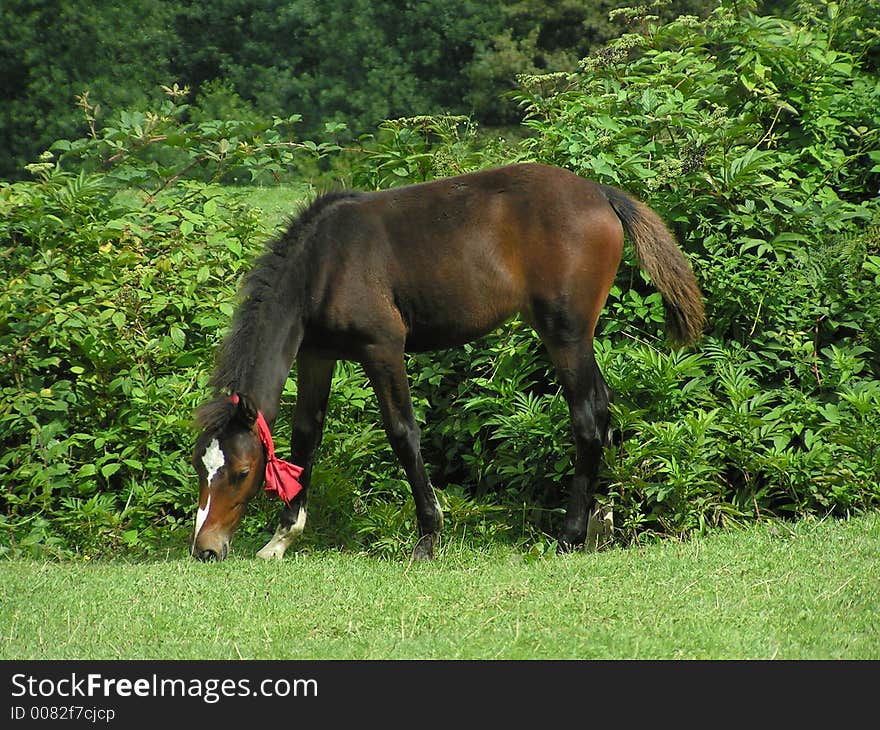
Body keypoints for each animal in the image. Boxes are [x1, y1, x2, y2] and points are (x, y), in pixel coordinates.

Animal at [189, 162, 704, 560]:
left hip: (566, 334)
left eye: (240, 472)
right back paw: (606, 523)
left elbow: (403, 434)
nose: (205, 549)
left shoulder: (382, 349)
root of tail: (601, 194)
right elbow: (305, 438)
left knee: (588, 416)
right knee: (603, 408)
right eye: (200, 467)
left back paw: (571, 534)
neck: (323, 263)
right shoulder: (317, 355)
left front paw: (428, 536)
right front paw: (280, 540)